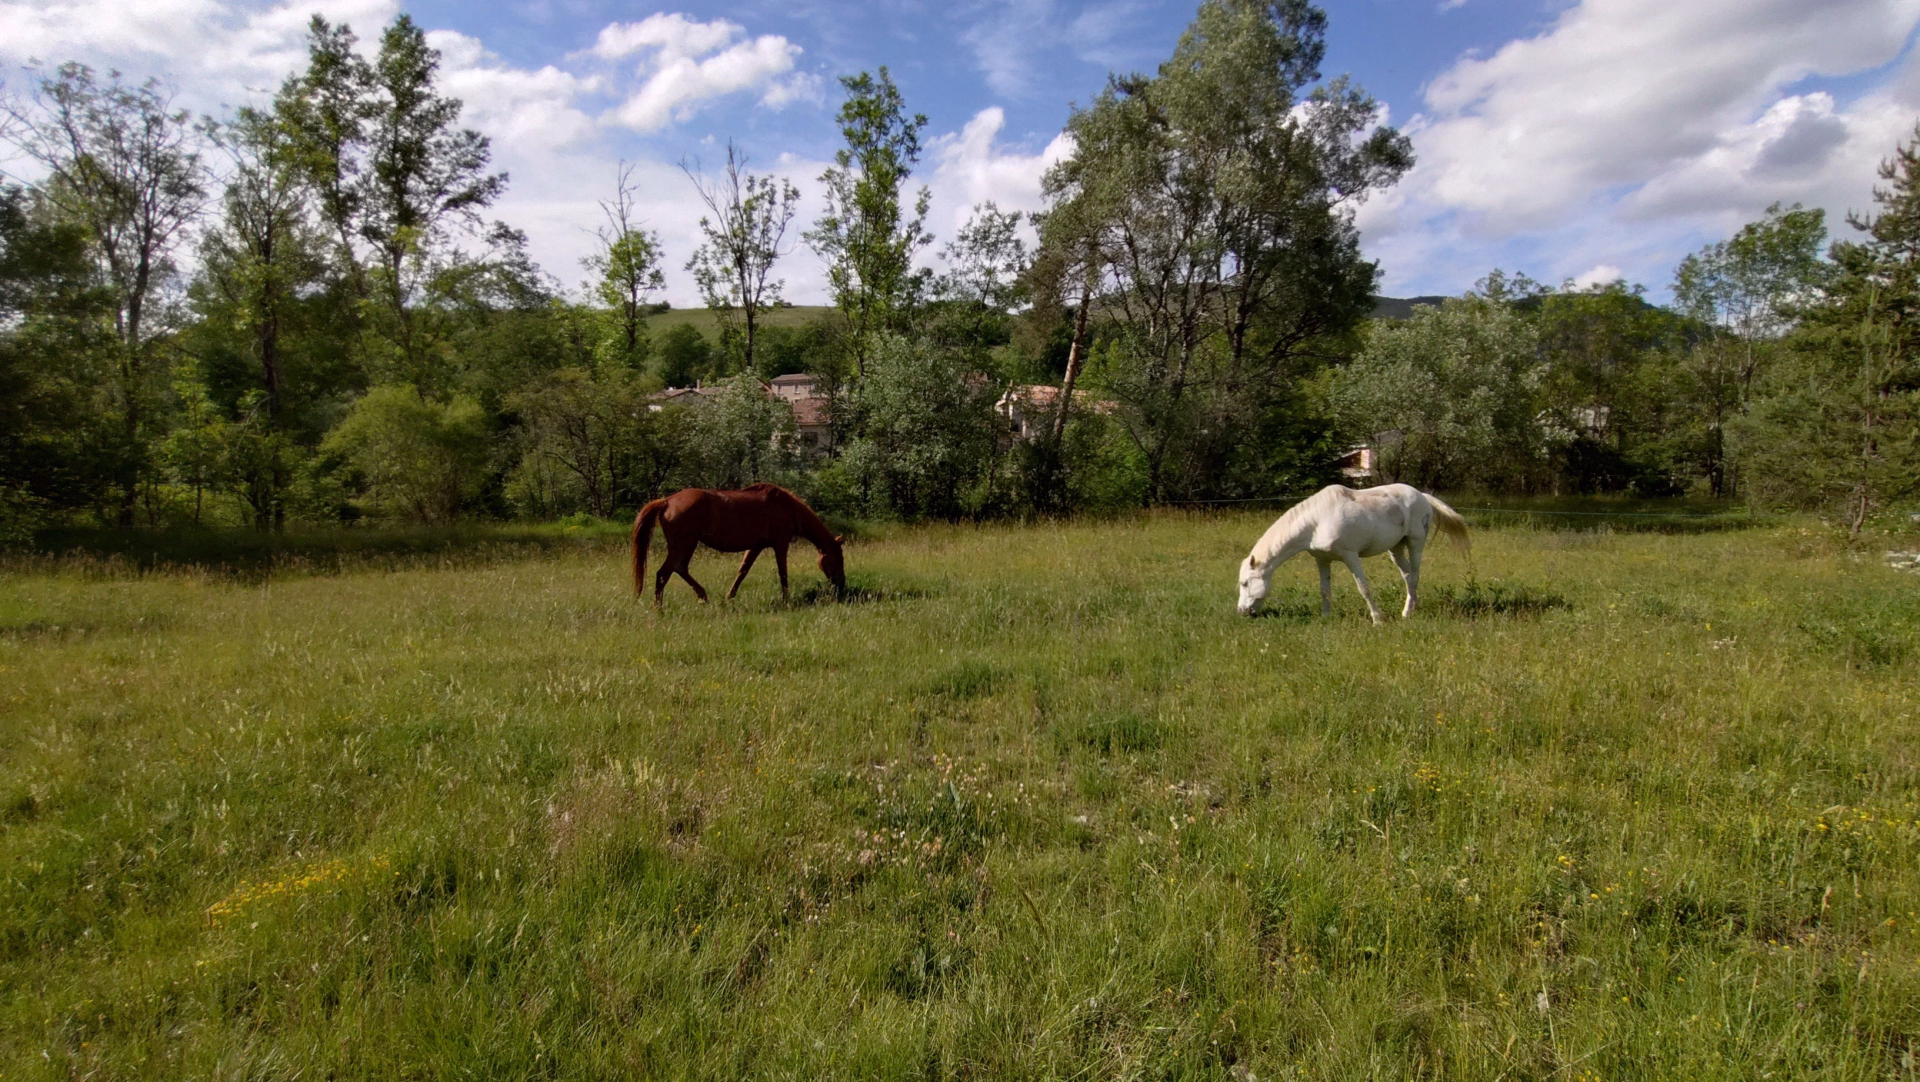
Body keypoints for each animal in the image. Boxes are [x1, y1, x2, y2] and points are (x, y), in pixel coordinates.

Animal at [632, 483, 846, 606]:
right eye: (839, 558)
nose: (841, 584)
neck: (787, 507)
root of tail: (667, 501)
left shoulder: (756, 546)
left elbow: (742, 571)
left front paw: (730, 596)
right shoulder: (781, 544)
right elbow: (783, 573)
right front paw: (787, 600)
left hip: (687, 545)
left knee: (680, 569)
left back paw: (703, 597)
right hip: (684, 544)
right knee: (664, 573)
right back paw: (659, 609)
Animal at [1236, 483, 1469, 622]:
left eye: (1245, 583)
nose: (1241, 612)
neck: (1317, 521)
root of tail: (1422, 496)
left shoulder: (1350, 556)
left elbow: (1363, 588)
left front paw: (1377, 619)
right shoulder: (1322, 560)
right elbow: (1324, 590)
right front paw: (1325, 617)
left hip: (1415, 543)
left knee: (1415, 575)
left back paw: (1406, 613)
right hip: (1396, 548)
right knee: (1408, 576)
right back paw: (1412, 607)